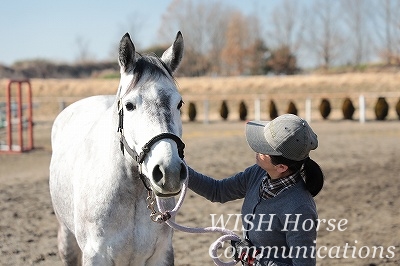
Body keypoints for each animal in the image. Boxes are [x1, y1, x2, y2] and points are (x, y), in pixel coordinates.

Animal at [50, 32, 186, 264]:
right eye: (129, 105)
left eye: (179, 104)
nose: (170, 172)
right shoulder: (95, 255)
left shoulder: (161, 254)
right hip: (66, 238)